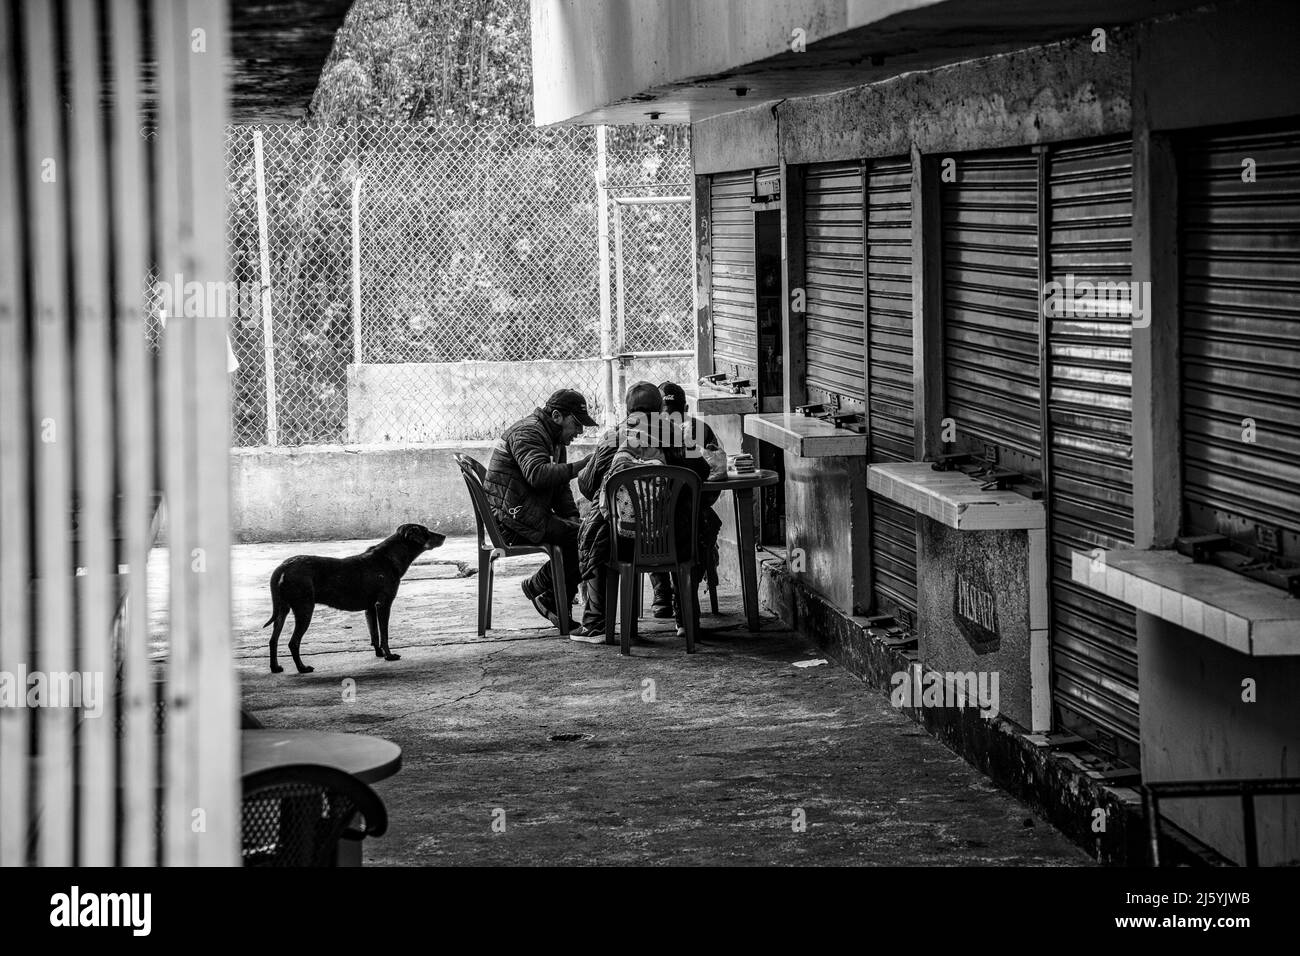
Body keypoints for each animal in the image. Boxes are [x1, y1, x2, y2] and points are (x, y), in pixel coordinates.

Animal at [263, 522, 447, 671]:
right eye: (426, 531)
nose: (444, 535)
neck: (388, 557)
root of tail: (284, 566)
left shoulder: (370, 608)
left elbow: (375, 634)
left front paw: (379, 653)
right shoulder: (383, 604)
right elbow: (384, 635)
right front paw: (389, 655)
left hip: (282, 610)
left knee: (273, 640)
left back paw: (275, 667)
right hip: (304, 609)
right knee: (293, 643)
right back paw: (302, 668)